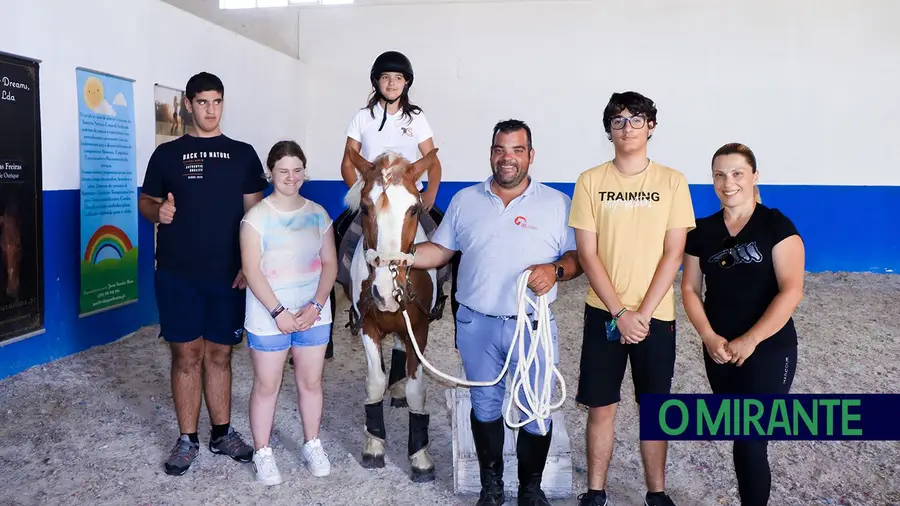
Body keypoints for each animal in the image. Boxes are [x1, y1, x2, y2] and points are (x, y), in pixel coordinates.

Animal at [342, 145, 442, 482]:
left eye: (413, 209)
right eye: (365, 208)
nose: (385, 292)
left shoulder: (419, 329)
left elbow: (416, 391)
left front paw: (420, 456)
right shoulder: (368, 325)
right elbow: (374, 382)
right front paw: (374, 444)